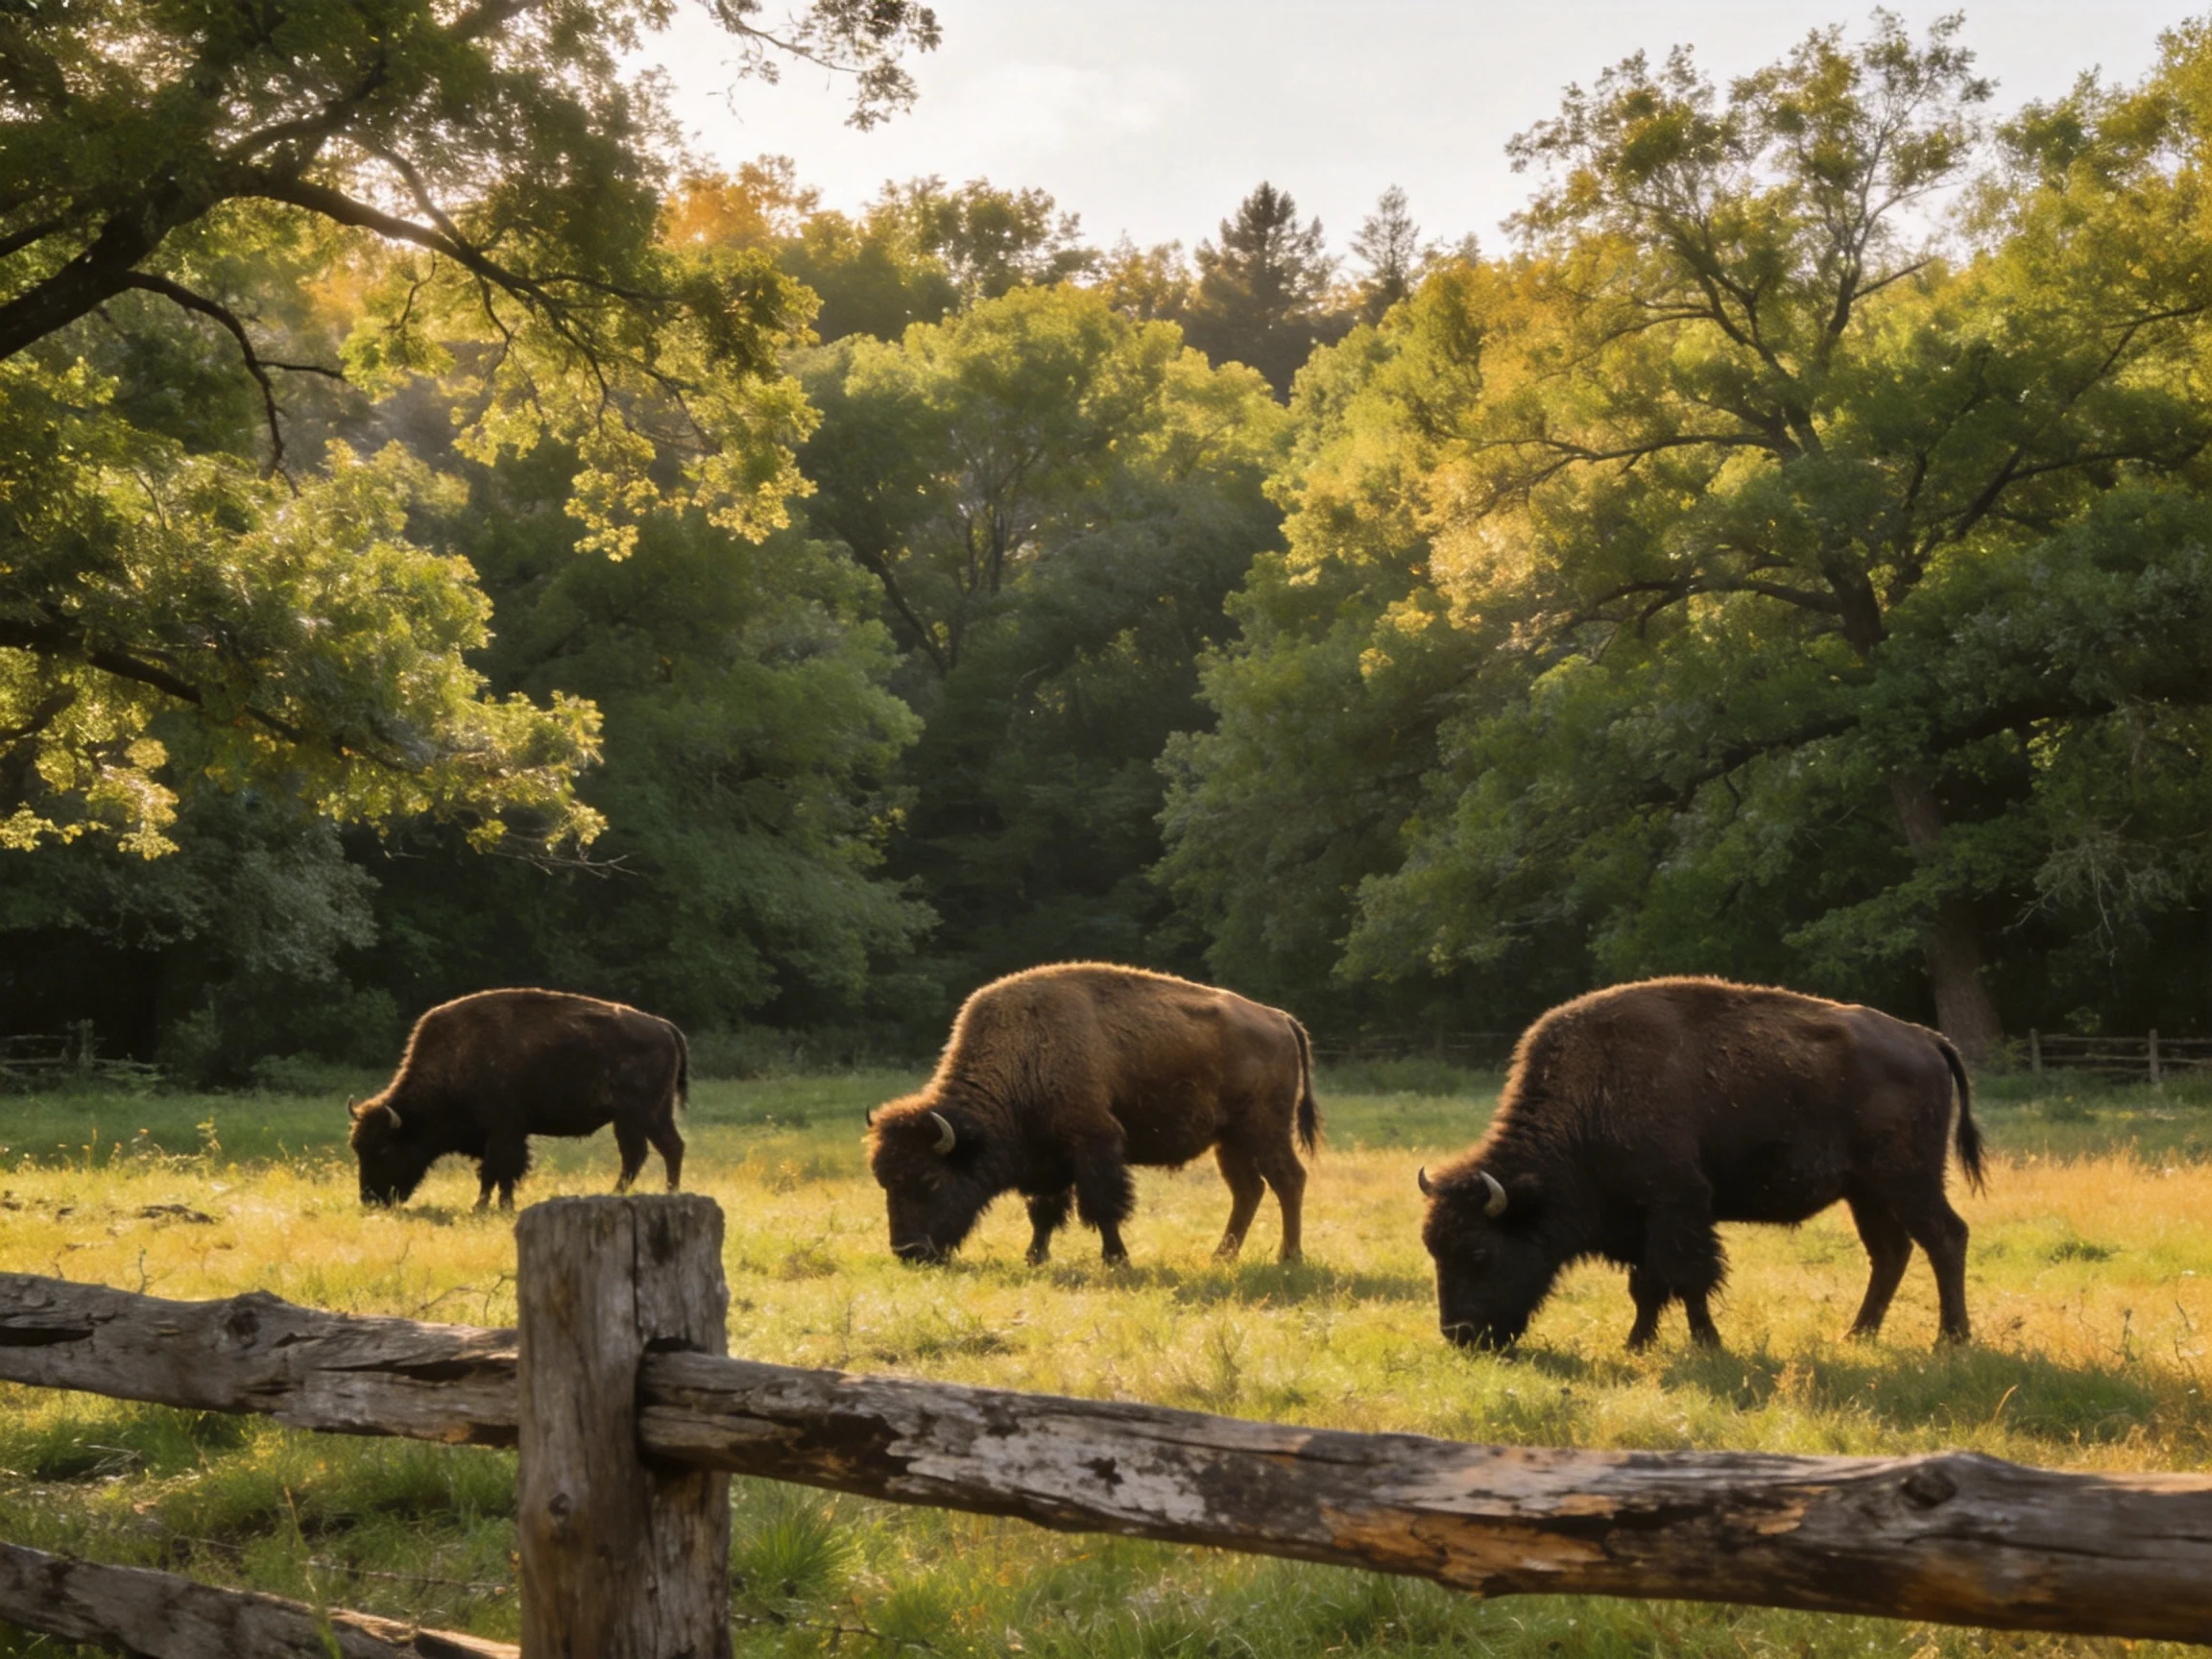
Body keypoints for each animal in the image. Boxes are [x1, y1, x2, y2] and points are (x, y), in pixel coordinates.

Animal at [349, 988, 688, 1209]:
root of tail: (665, 1027)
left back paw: (617, 1194)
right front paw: (498, 1204)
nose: (369, 1199)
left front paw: (484, 1206)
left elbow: (497, 1167)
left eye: (384, 1148)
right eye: (358, 1148)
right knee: (670, 1148)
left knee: (637, 1155)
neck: (456, 1058)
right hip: (655, 1115)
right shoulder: (503, 1132)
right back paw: (668, 1193)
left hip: (633, 1117)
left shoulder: (503, 1129)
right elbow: (500, 1171)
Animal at [868, 962, 1320, 1265]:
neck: (1025, 1053)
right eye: (885, 1181)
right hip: (1230, 1141)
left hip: (1265, 1130)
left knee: (1288, 1180)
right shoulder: (1046, 1158)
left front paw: (1117, 1259)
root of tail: (1279, 1017)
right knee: (1248, 1190)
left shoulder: (1093, 1142)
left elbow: (1103, 1204)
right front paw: (1034, 1257)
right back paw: (1221, 1256)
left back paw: (1289, 1256)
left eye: (929, 1178)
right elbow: (1044, 1211)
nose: (908, 1251)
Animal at [1419, 977, 1984, 1352]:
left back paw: (1950, 1340)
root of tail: (1926, 1038)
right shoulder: (1641, 1222)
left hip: (1908, 1179)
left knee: (1945, 1237)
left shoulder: (1679, 1206)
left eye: (1480, 1251)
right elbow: (1646, 1287)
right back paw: (1857, 1334)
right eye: (1434, 1250)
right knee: (1891, 1252)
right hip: (1866, 1192)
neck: (1593, 1097)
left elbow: (1686, 1276)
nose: (1459, 1335)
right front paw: (1637, 1344)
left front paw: (1705, 1343)